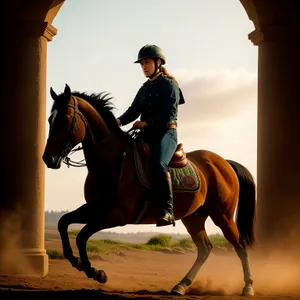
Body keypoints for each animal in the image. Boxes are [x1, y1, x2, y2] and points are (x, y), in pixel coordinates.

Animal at [43, 83, 256, 296]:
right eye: (50, 119)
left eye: (65, 118)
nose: (48, 159)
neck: (114, 160)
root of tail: (224, 163)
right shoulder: (95, 207)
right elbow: (63, 223)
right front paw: (78, 262)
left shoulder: (117, 215)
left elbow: (81, 235)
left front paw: (95, 272)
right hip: (194, 218)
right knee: (205, 249)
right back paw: (181, 285)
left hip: (223, 216)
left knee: (239, 245)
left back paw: (248, 286)